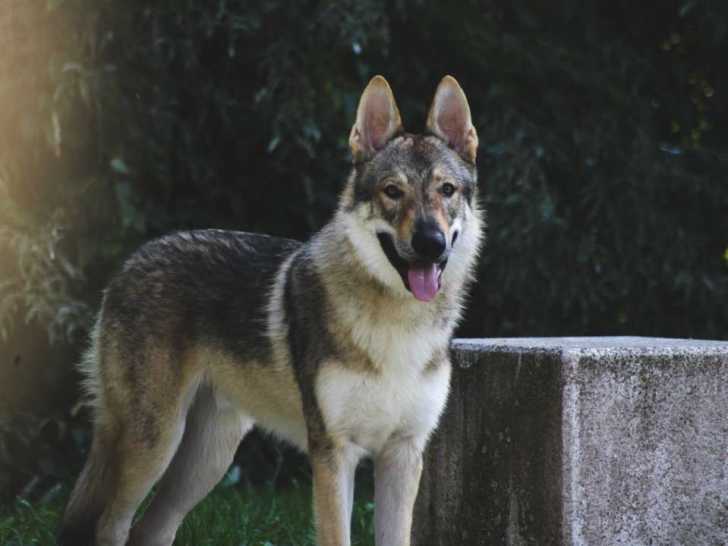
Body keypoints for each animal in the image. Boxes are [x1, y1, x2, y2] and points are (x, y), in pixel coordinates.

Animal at [58, 75, 483, 546]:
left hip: (207, 460)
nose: (431, 242)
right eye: (393, 191)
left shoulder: (403, 454)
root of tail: (131, 261)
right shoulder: (333, 454)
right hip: (155, 444)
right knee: (110, 525)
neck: (397, 325)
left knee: (149, 530)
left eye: (446, 190)